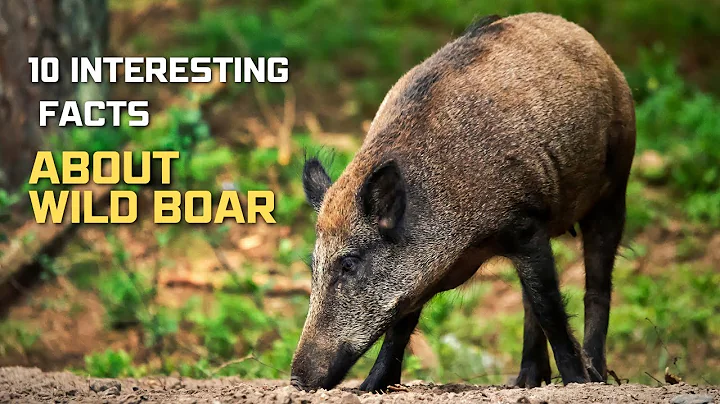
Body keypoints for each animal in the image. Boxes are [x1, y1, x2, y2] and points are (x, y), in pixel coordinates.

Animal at [291, 12, 635, 391]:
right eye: (313, 265)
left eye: (349, 263)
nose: (297, 380)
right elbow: (401, 325)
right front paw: (370, 388)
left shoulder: (525, 224)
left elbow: (550, 308)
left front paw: (576, 382)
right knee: (529, 302)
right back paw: (525, 382)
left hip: (614, 188)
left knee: (595, 287)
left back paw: (596, 377)